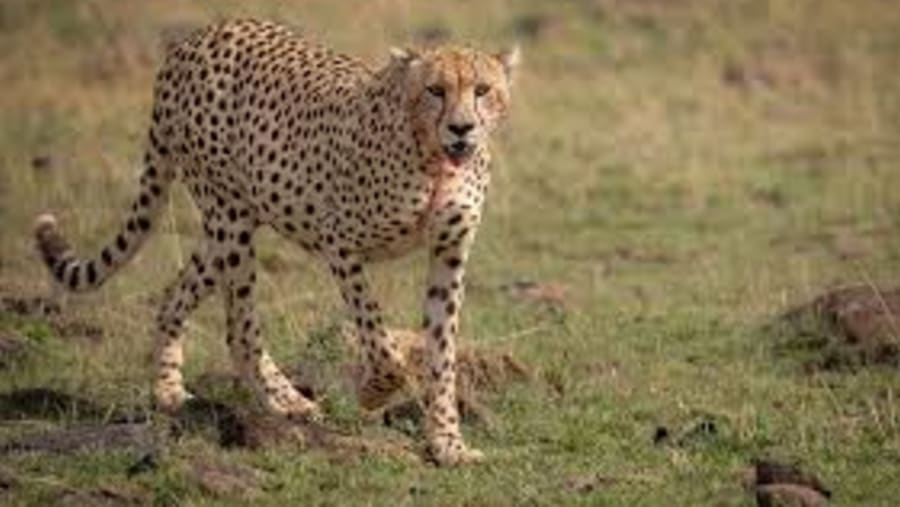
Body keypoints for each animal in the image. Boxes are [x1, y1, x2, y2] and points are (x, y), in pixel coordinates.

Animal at [34, 18, 518, 466]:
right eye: (435, 90)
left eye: (482, 90)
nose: (461, 128)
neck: (435, 163)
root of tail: (201, 36)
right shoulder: (339, 242)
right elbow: (380, 339)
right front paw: (373, 393)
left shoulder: (449, 253)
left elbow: (442, 353)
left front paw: (449, 443)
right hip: (229, 219)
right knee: (240, 329)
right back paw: (288, 402)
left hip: (229, 222)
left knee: (176, 294)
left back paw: (169, 389)